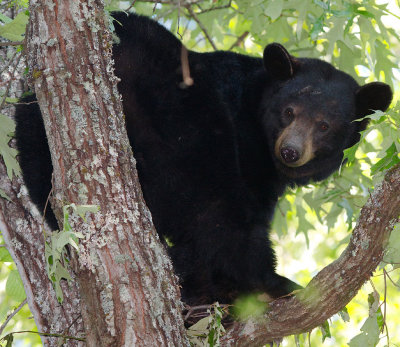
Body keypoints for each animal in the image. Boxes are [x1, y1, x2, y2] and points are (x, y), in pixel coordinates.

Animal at [14, 12, 392, 308]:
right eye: (289, 111)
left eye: (325, 125)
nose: (291, 151)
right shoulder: (246, 147)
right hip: (179, 113)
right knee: (213, 204)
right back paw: (264, 281)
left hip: (35, 125)